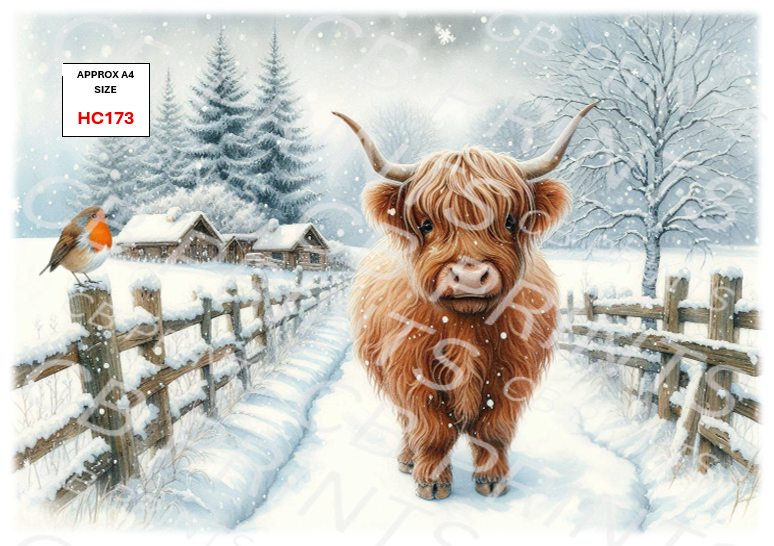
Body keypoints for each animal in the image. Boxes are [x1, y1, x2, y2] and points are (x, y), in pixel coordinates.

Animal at [334, 103, 595, 500]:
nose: (470, 277)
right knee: (407, 423)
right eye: (426, 224)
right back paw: (407, 460)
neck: (466, 325)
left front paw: (493, 480)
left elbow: (493, 429)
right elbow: (432, 426)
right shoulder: (412, 369)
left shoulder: (511, 371)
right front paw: (431, 481)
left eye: (509, 221)